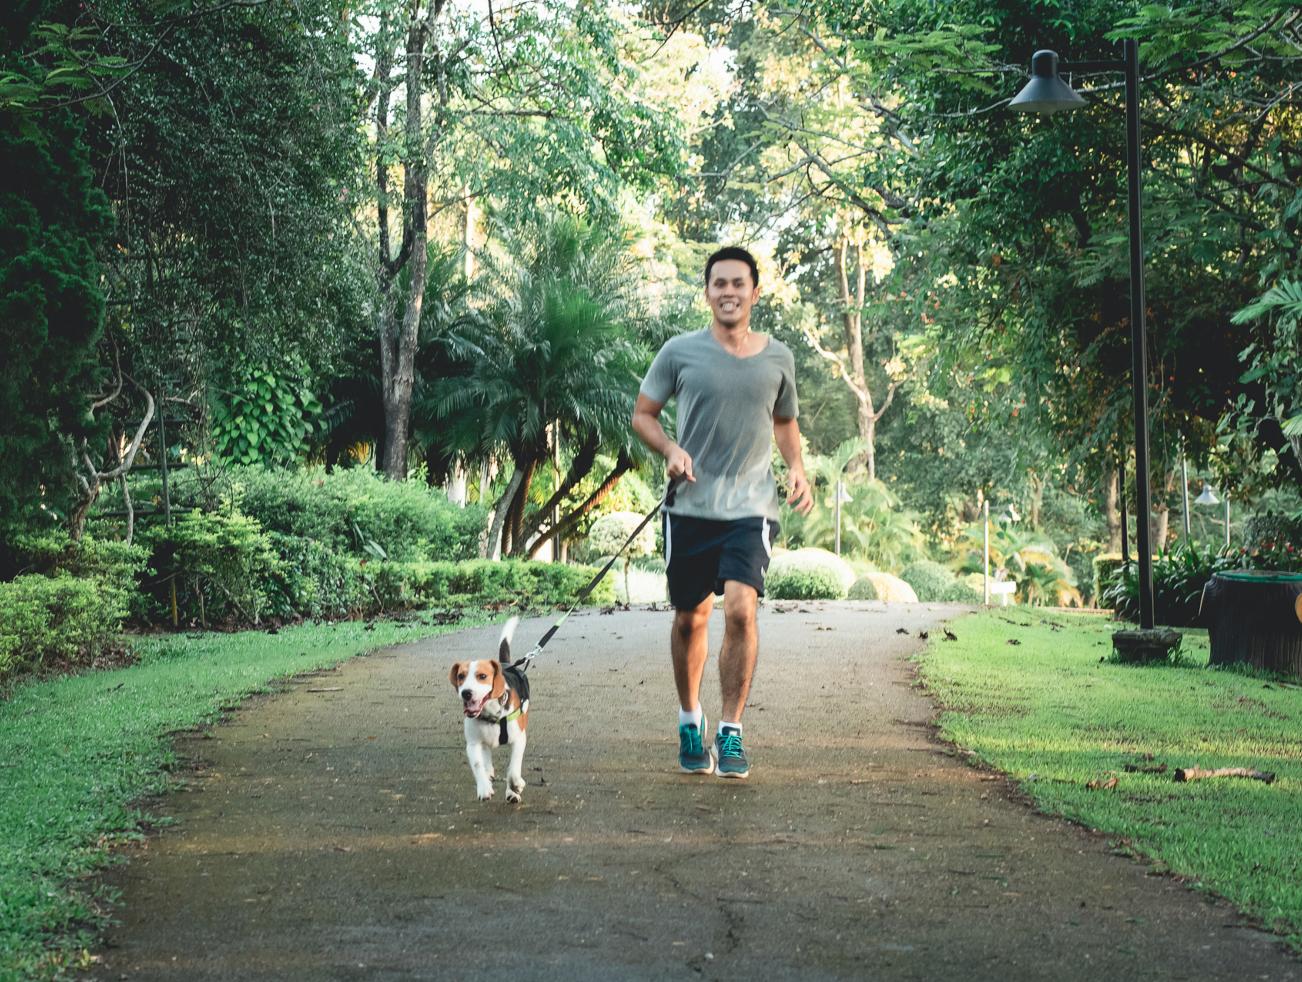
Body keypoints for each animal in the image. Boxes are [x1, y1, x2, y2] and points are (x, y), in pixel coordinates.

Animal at [447, 614, 528, 797]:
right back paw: (489, 770)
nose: (466, 693)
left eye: (482, 676)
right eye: (461, 676)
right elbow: (478, 766)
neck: (491, 714)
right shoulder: (473, 744)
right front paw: (484, 787)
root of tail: (505, 665)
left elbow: (513, 768)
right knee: (486, 754)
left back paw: (512, 793)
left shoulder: (519, 739)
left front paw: (515, 786)